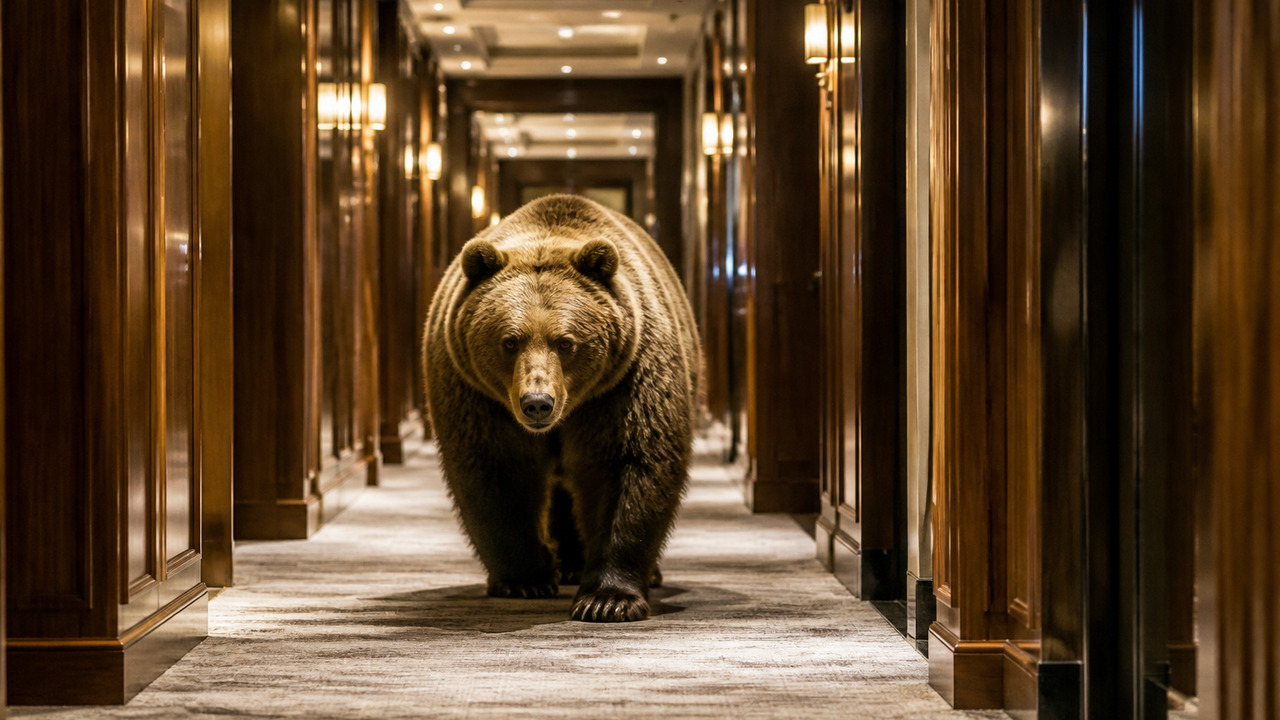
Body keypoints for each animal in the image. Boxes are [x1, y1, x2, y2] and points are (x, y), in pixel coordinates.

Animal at [423, 194, 700, 623]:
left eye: (566, 341)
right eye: (509, 341)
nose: (537, 402)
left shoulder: (622, 385)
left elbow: (628, 464)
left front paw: (607, 599)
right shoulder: (478, 396)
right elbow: (496, 470)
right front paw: (525, 579)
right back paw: (567, 564)